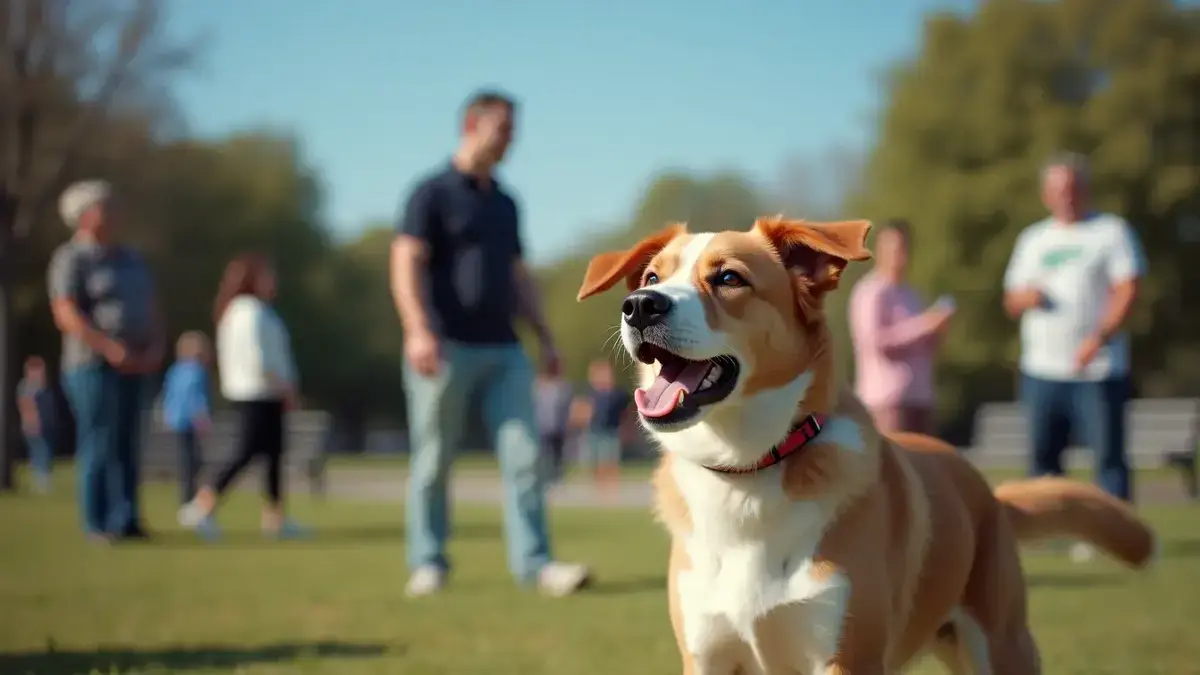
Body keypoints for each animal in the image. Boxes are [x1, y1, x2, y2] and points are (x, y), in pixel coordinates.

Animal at [576, 216, 1156, 672]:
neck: (748, 472)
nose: (639, 305)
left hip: (1002, 644)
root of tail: (989, 492)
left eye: (728, 278)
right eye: (654, 276)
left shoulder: (846, 658)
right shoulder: (708, 657)